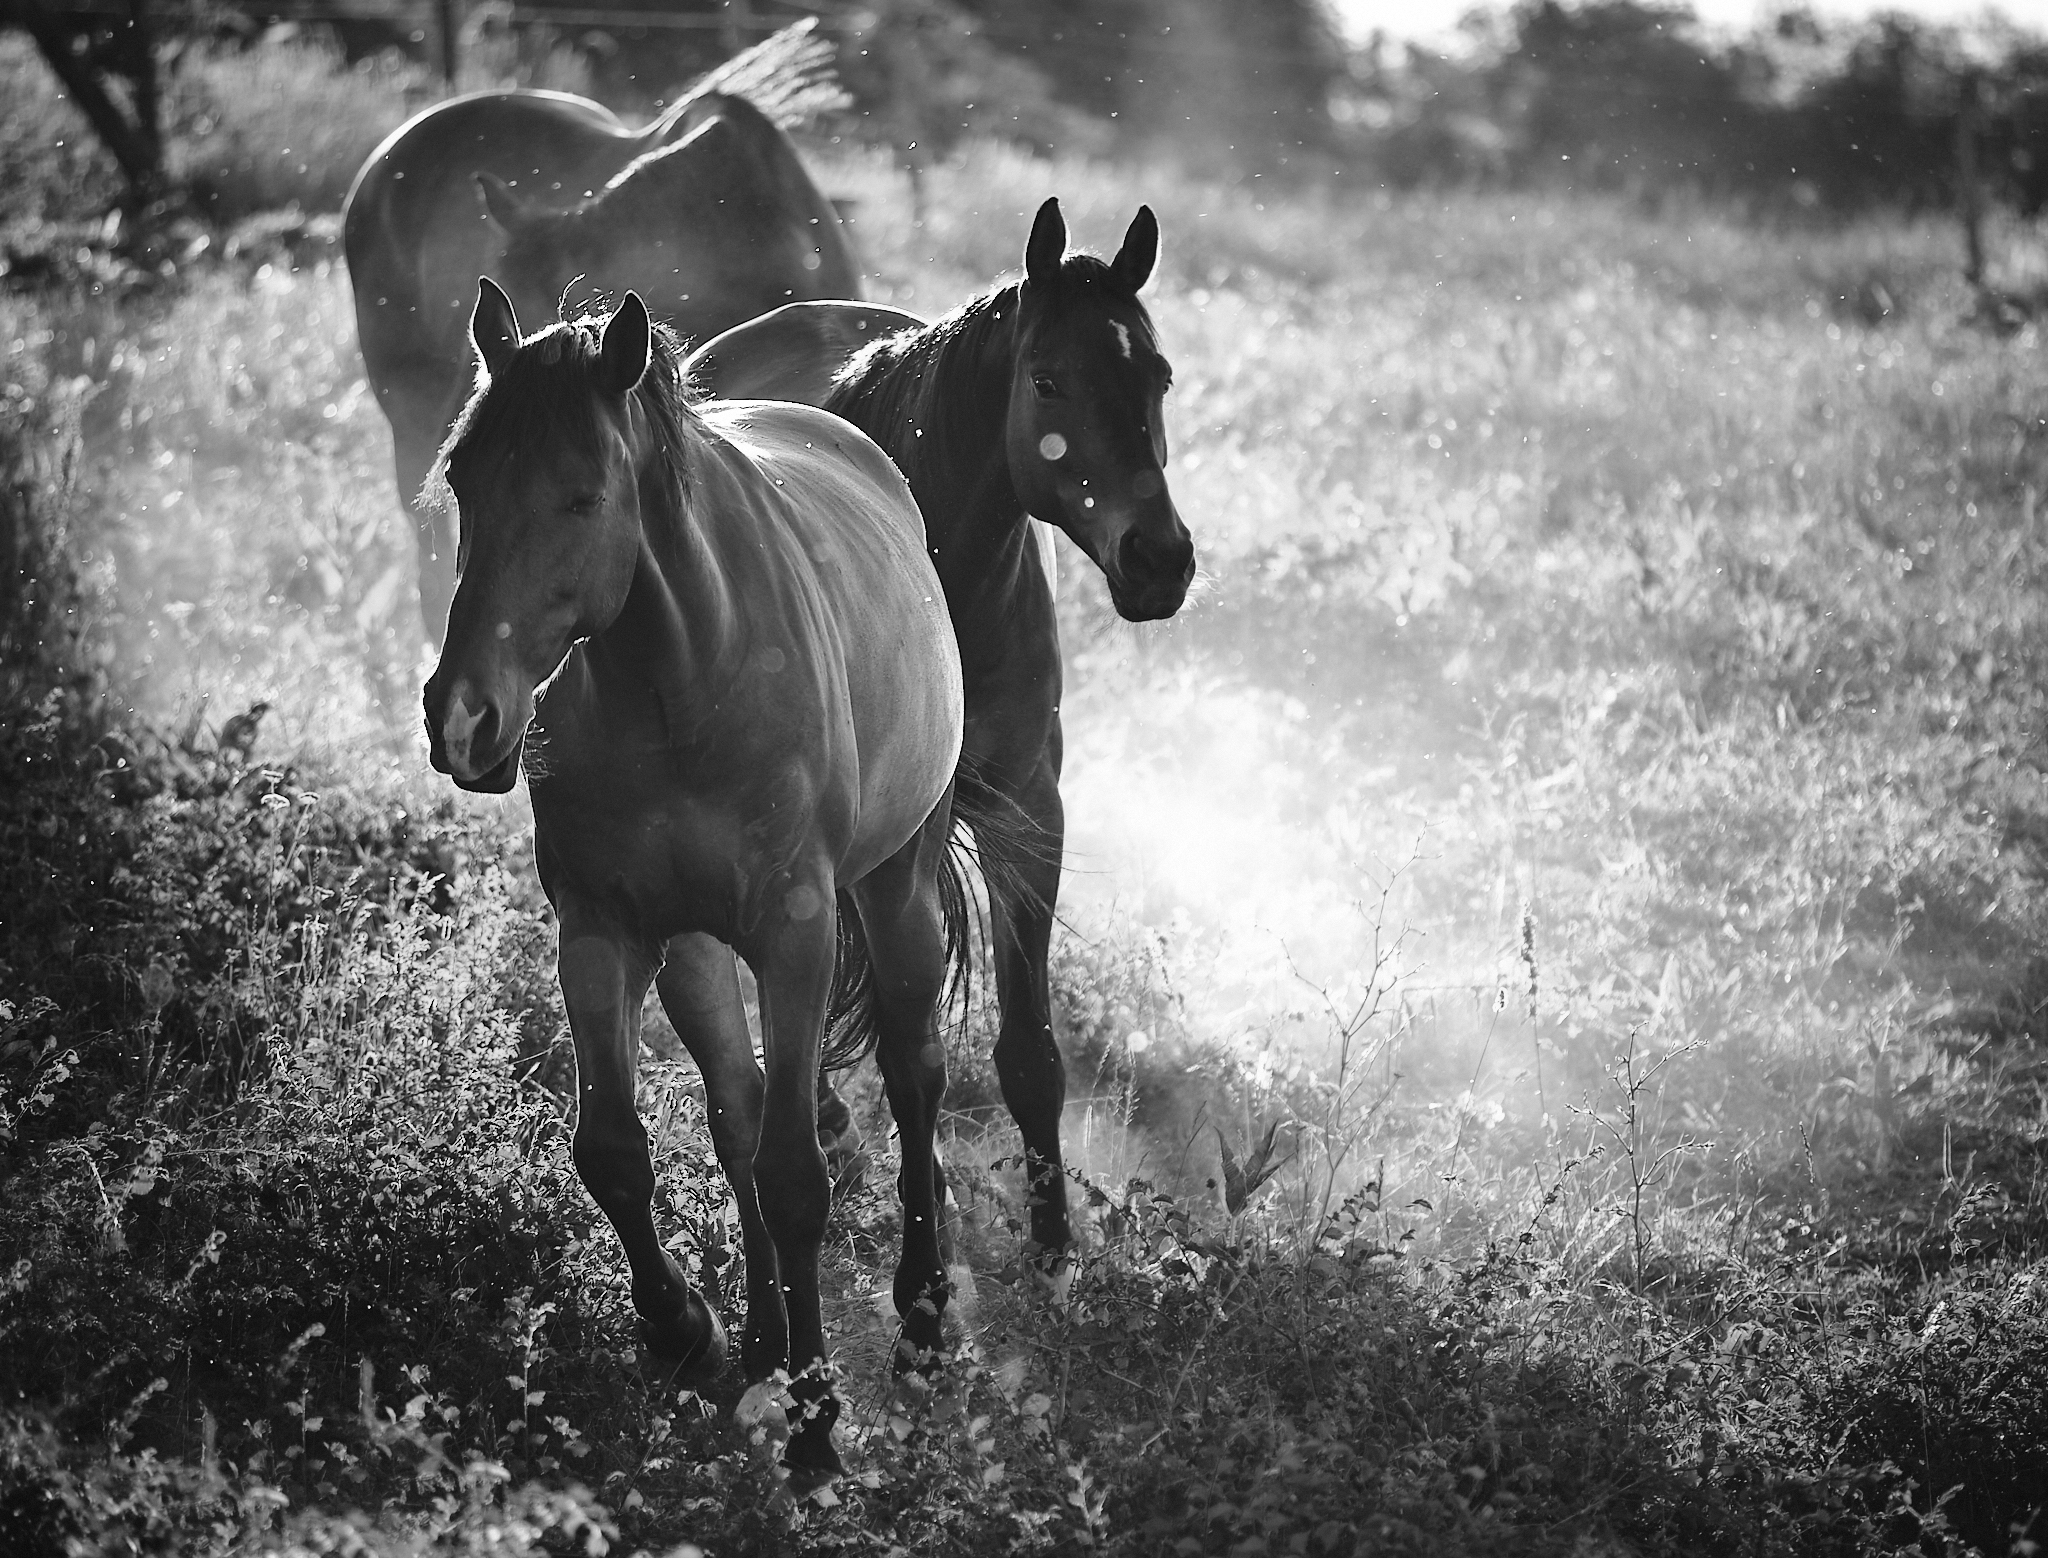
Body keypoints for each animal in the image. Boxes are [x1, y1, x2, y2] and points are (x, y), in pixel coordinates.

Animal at [422, 280, 970, 1477]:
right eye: (462, 482)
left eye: (584, 496)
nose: (462, 717)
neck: (678, 680)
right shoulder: (604, 931)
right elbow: (617, 1151)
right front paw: (684, 1329)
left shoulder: (799, 933)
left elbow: (799, 1175)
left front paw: (817, 1428)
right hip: (699, 952)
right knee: (738, 1109)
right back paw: (761, 1338)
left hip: (893, 886)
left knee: (912, 1074)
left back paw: (920, 1317)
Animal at [685, 198, 1195, 1271]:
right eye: (1048, 380)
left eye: (1159, 377)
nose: (1160, 560)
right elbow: (902, 1043)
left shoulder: (1029, 813)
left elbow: (1028, 1050)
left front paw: (1052, 1246)